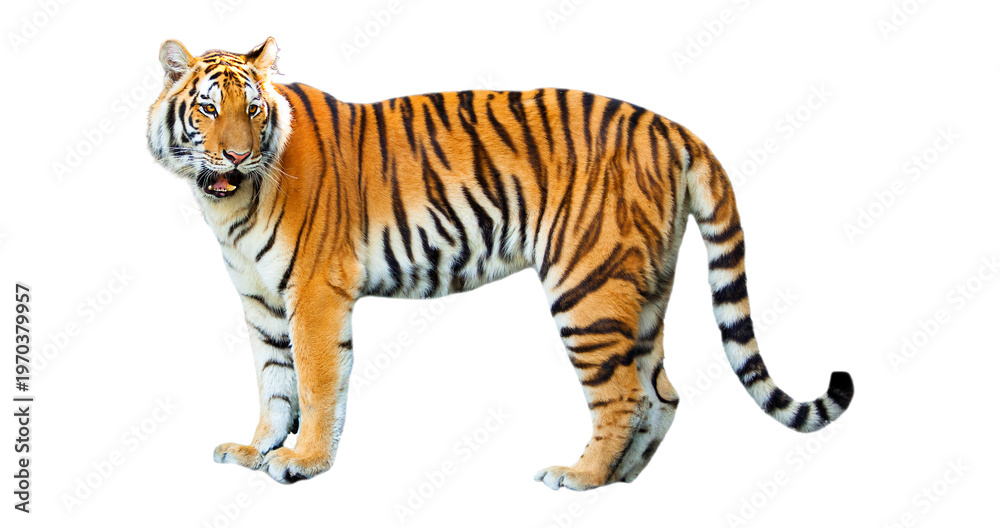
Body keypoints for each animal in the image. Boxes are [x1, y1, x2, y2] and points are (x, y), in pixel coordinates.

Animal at [146, 37, 854, 489]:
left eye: (253, 108)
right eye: (208, 107)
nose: (237, 155)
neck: (228, 203)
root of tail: (671, 128)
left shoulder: (316, 297)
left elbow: (317, 386)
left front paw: (301, 462)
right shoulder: (262, 302)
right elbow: (274, 383)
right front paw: (254, 450)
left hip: (587, 289)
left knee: (625, 392)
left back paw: (580, 477)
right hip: (644, 289)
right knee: (663, 392)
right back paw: (623, 478)